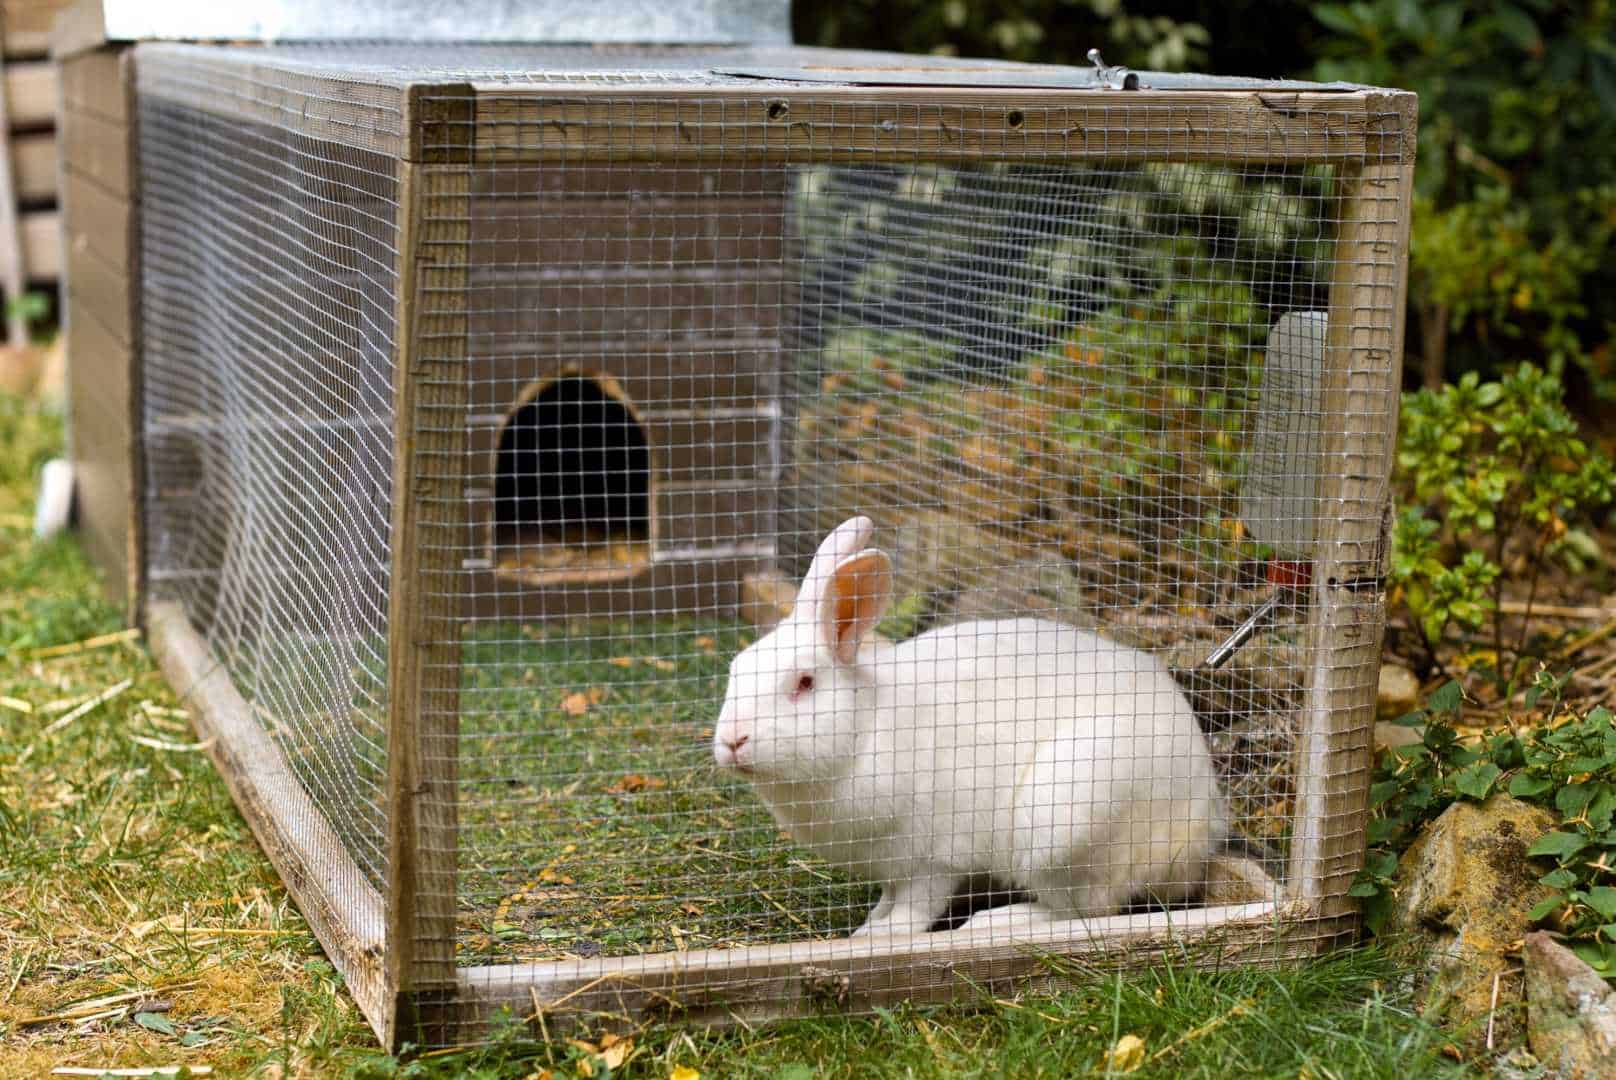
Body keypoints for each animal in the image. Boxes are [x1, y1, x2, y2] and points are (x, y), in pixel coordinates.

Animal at [714, 514, 1228, 937]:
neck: (865, 729)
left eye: (804, 683)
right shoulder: (891, 866)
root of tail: (1201, 832)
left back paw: (994, 922)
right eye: (735, 670)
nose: (732, 740)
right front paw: (871, 922)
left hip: (1063, 823)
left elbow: (917, 906)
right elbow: (889, 897)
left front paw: (880, 935)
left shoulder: (934, 858)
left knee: (1082, 909)